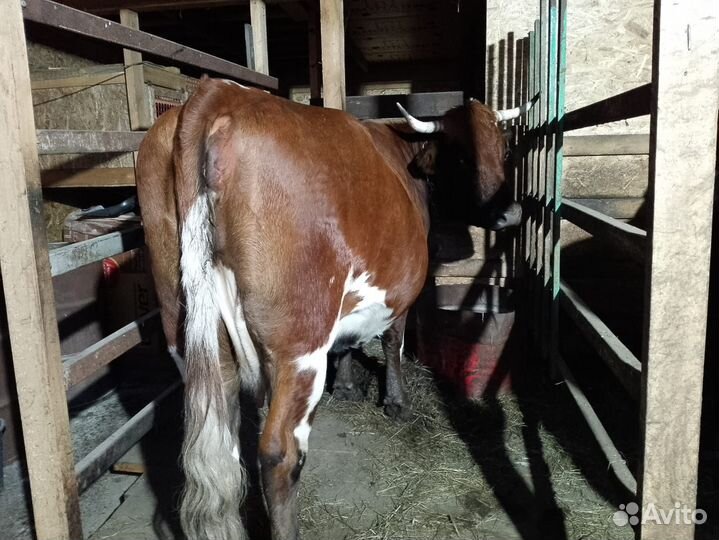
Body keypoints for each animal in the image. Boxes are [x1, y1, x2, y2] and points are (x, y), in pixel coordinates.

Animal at [135, 77, 526, 540]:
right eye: (464, 155)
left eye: (504, 149)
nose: (512, 214)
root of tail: (221, 92)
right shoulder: (400, 292)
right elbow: (393, 342)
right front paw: (395, 402)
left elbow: (347, 344)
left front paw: (348, 386)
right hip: (299, 344)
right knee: (280, 453)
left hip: (187, 331)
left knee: (220, 432)